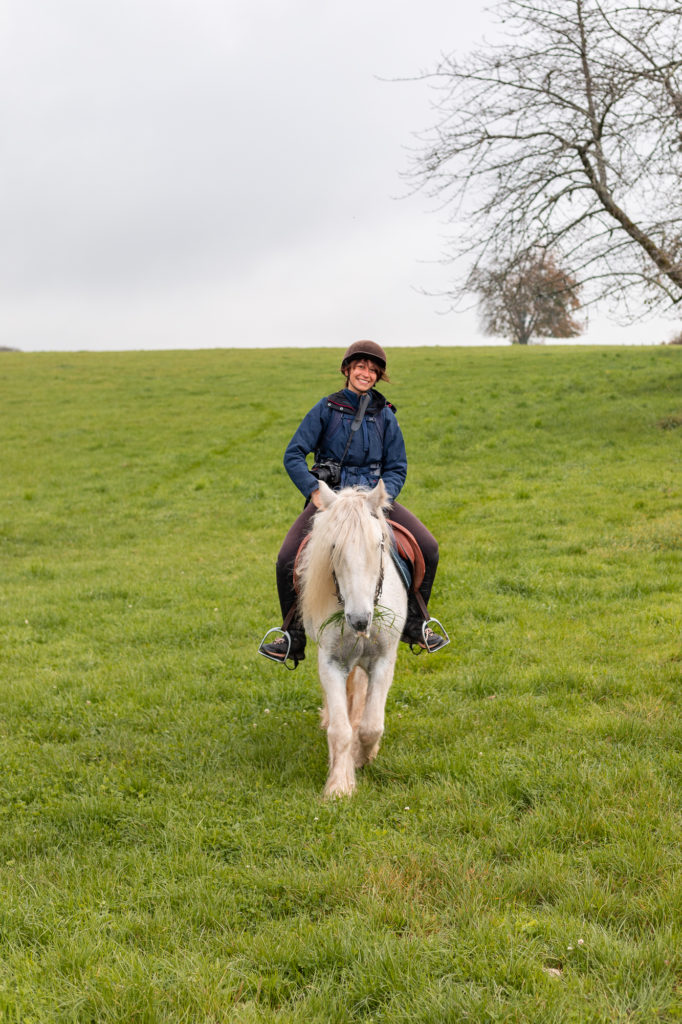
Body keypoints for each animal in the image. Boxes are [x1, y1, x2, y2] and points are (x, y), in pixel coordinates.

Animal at [296, 479, 403, 798]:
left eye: (379, 544)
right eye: (333, 547)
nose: (359, 620)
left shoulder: (383, 660)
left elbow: (371, 725)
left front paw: (361, 757)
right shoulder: (331, 662)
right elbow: (340, 730)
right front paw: (339, 785)